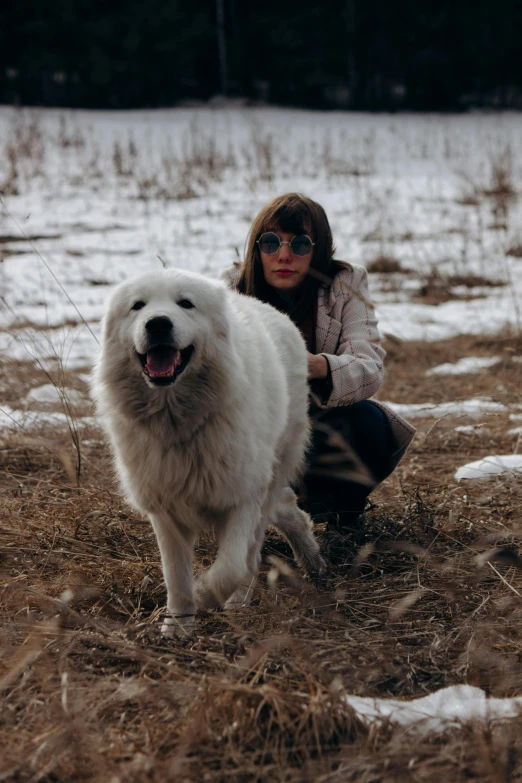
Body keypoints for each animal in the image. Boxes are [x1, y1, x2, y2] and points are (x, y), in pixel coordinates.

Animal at [91, 270, 322, 636]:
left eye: (186, 303)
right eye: (137, 306)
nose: (157, 323)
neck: (179, 424)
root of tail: (272, 310)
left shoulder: (243, 497)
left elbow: (230, 567)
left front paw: (204, 596)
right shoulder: (164, 509)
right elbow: (175, 575)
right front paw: (178, 626)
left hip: (267, 477)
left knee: (254, 549)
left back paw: (247, 599)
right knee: (288, 508)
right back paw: (313, 560)